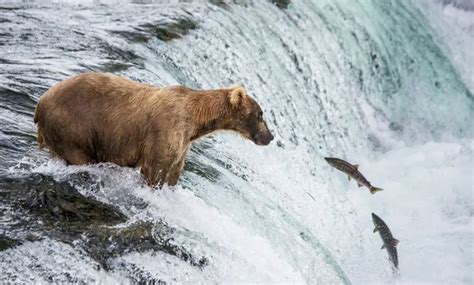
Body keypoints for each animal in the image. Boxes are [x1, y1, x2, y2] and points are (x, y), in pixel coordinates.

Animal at [34, 72, 274, 185]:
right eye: (260, 114)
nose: (270, 137)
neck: (195, 121)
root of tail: (40, 103)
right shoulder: (165, 130)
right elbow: (154, 168)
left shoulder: (182, 144)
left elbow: (173, 171)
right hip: (72, 127)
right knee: (80, 156)